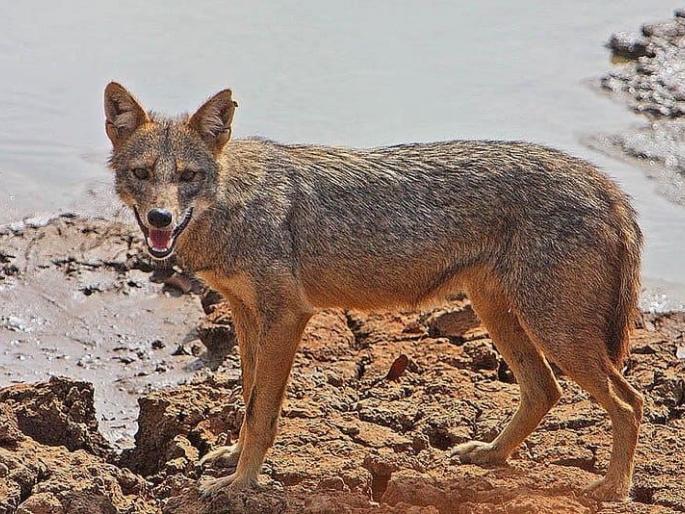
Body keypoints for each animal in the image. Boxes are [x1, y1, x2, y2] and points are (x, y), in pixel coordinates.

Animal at [104, 82, 644, 501]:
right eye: (143, 174)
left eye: (189, 177)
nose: (160, 219)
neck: (236, 202)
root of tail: (604, 183)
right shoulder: (246, 313)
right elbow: (248, 396)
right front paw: (233, 462)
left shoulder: (287, 315)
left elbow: (260, 412)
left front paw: (239, 485)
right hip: (504, 317)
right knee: (545, 389)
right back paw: (490, 454)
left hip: (555, 332)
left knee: (629, 403)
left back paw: (612, 489)